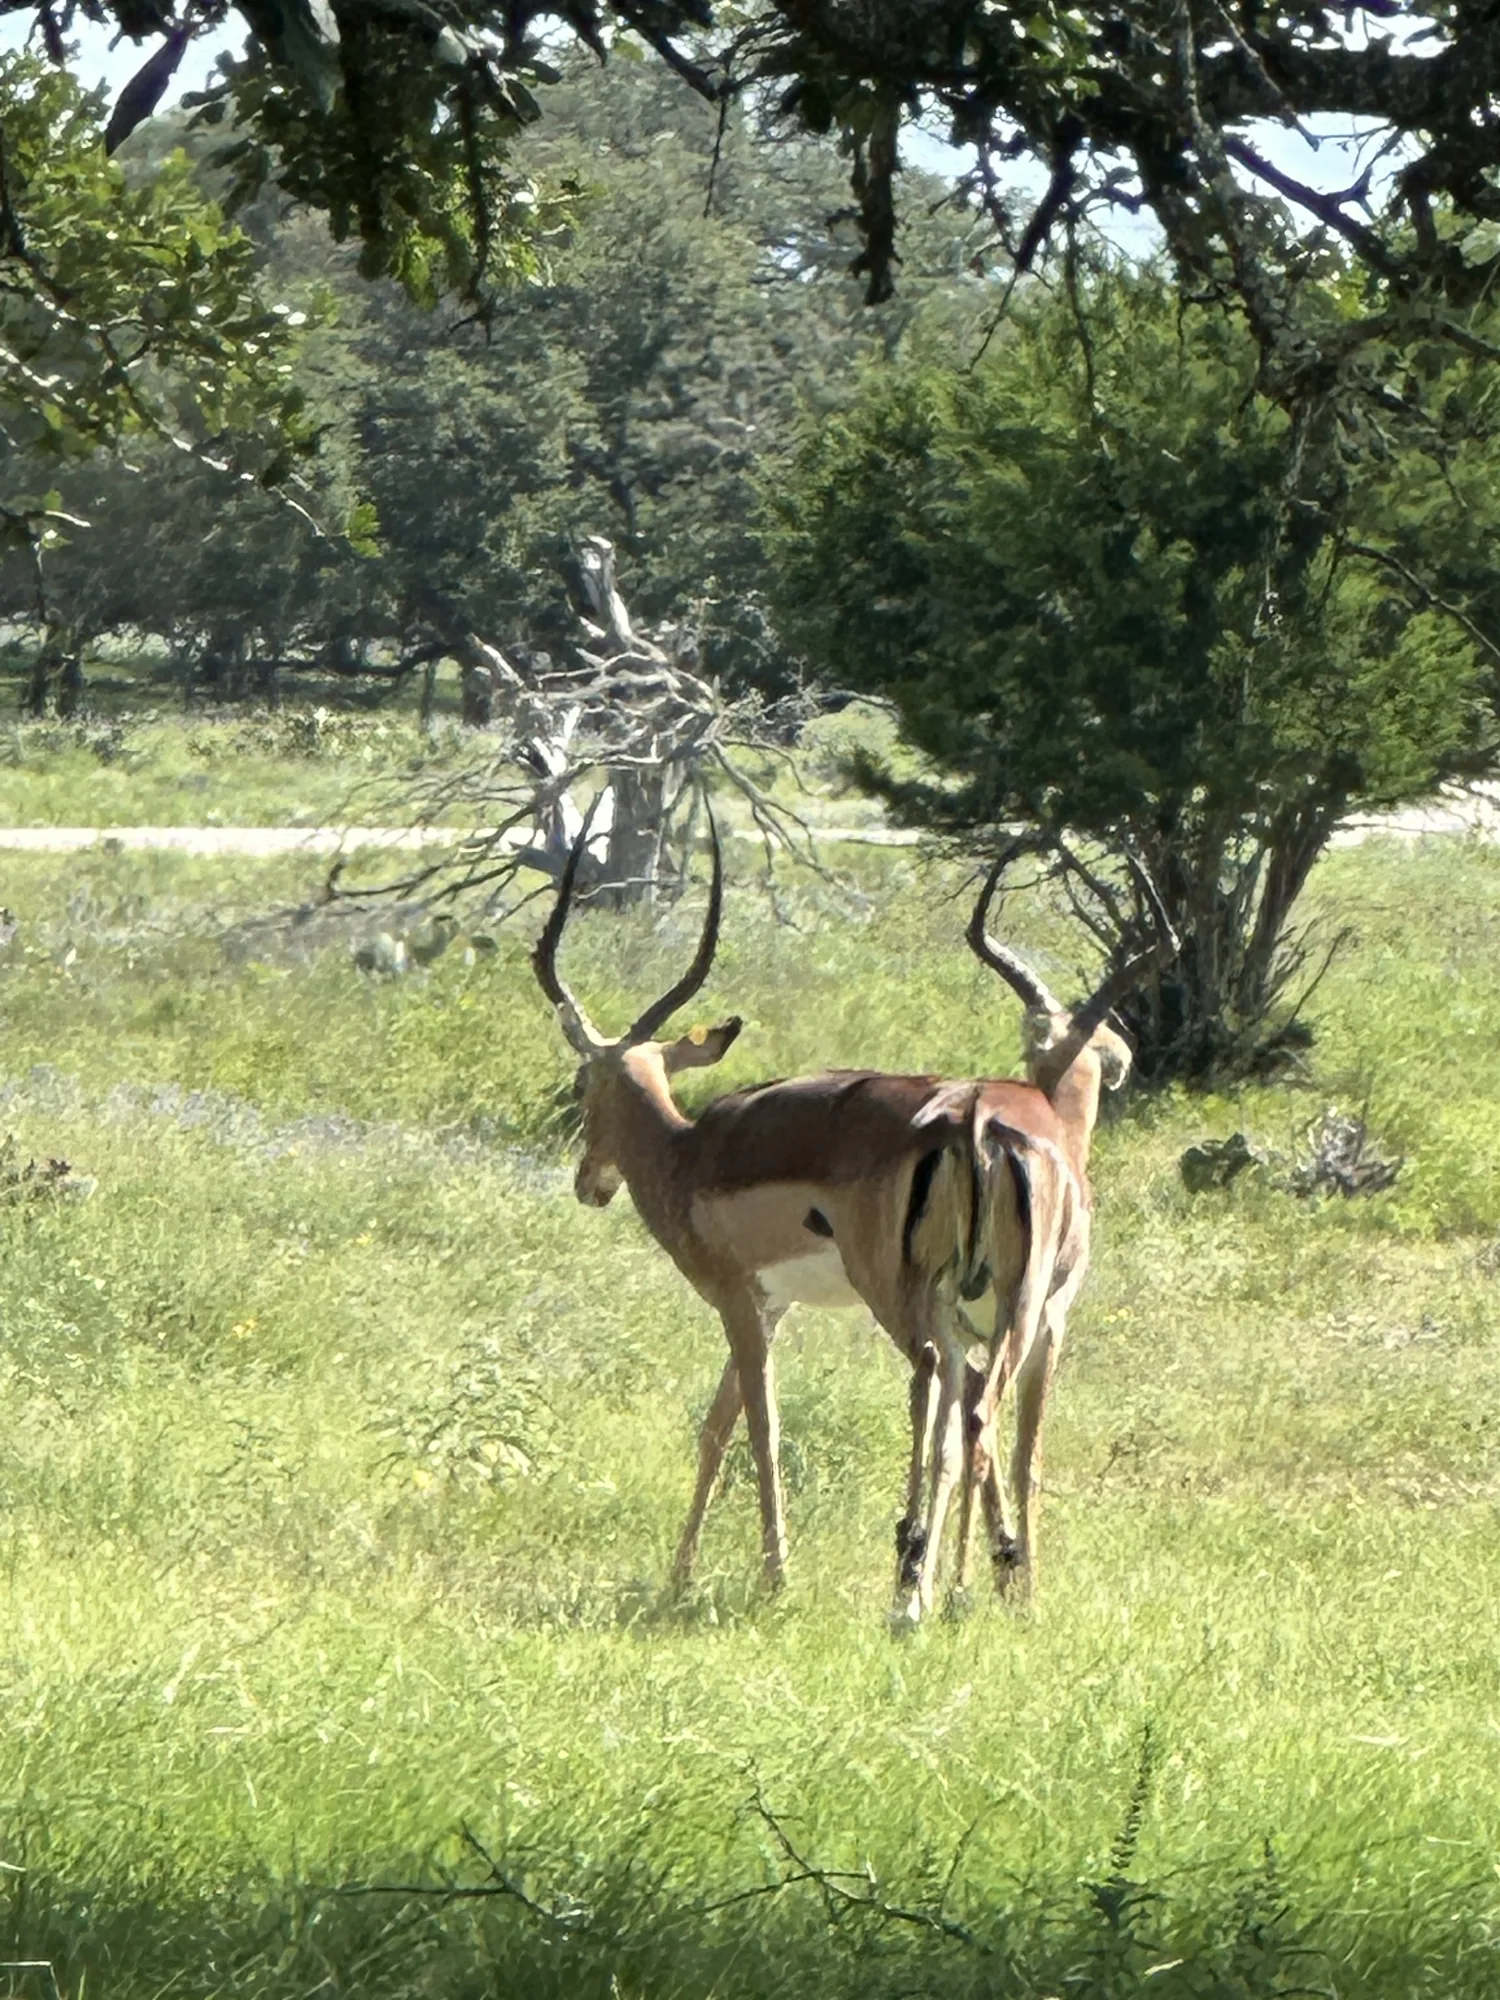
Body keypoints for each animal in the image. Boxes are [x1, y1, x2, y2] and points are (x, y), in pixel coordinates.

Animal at [531, 817, 1000, 1618]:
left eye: (581, 1079)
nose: (589, 1183)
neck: (685, 1157)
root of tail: (960, 1124)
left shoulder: (735, 1299)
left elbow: (761, 1425)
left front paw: (775, 1576)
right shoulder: (772, 1305)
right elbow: (716, 1426)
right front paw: (680, 1574)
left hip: (900, 1299)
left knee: (947, 1386)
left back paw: (916, 1590)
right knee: (982, 1396)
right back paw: (983, 1585)